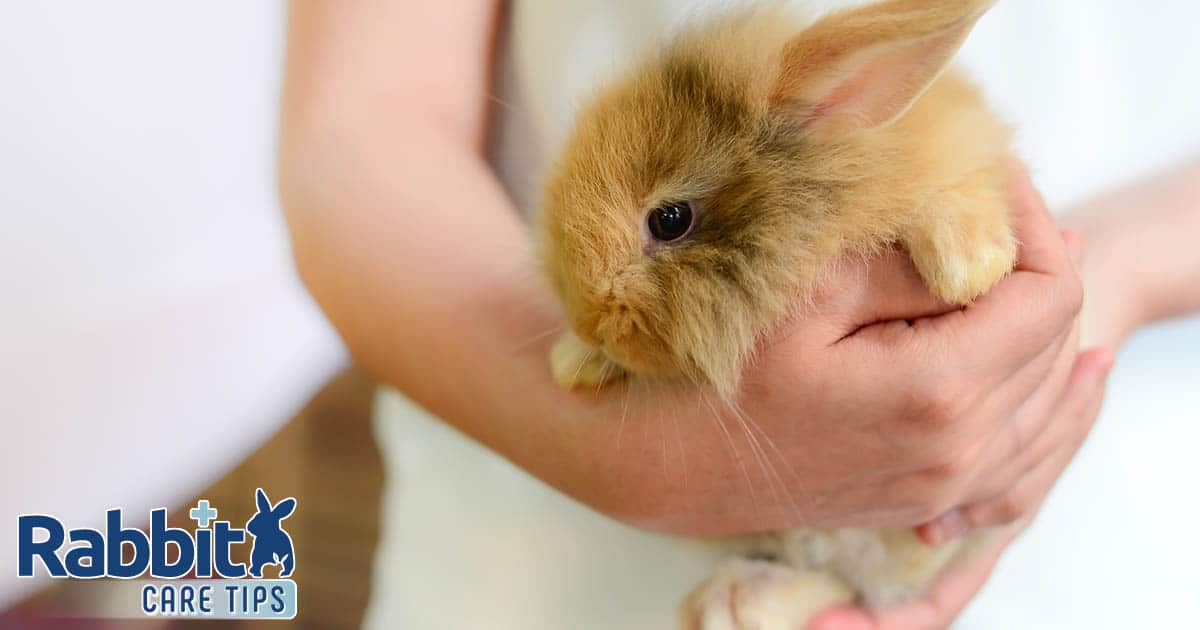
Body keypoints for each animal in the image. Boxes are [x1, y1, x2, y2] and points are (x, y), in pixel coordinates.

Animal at [540, 0, 1017, 624]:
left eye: (670, 219)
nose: (587, 321)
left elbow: (952, 193)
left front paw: (969, 267)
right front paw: (572, 362)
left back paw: (738, 604)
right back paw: (729, 604)